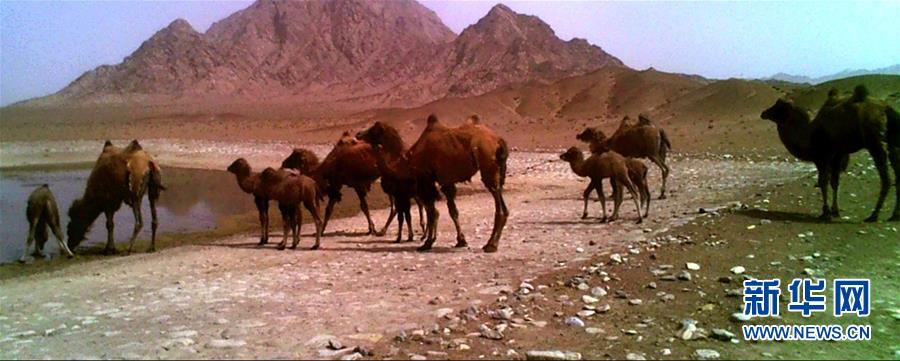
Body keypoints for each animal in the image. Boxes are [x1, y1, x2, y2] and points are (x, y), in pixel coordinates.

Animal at [406, 114, 510, 252]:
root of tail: (498, 141)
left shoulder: (428, 180)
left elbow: (433, 212)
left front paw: (427, 243)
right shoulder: (446, 181)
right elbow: (453, 211)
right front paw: (461, 241)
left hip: (489, 168)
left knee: (499, 205)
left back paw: (491, 245)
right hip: (499, 170)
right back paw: (491, 243)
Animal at [760, 84, 900, 221]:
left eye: (778, 107)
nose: (763, 113)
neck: (808, 135)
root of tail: (887, 109)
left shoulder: (822, 158)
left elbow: (823, 182)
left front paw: (826, 212)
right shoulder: (836, 157)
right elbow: (834, 182)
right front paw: (835, 212)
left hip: (875, 142)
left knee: (886, 178)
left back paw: (874, 215)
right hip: (892, 141)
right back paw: (894, 215)